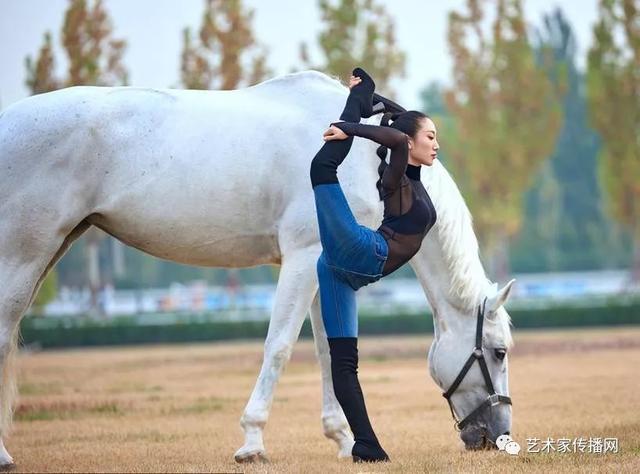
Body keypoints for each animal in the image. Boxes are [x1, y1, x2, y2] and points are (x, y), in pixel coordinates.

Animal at [0, 70, 515, 466]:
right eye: (499, 351)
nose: (496, 435)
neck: (371, 160)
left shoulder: (327, 266)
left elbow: (328, 351)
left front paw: (344, 440)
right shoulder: (305, 256)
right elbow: (280, 347)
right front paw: (252, 441)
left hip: (55, 245)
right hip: (24, 251)